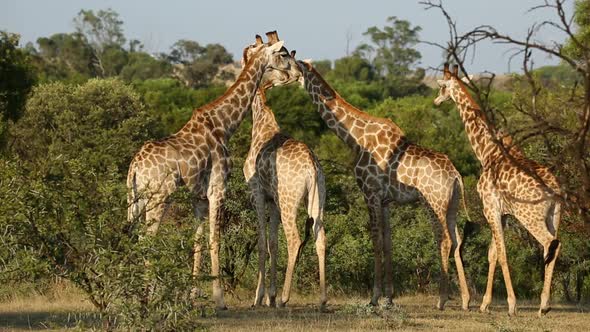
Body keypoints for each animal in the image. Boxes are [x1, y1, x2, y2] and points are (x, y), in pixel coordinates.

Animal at [128, 31, 302, 308]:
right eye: (283, 54)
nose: (297, 72)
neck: (223, 125)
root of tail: (134, 166)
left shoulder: (198, 198)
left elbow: (197, 242)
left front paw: (192, 296)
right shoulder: (217, 188)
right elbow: (215, 240)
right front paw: (219, 299)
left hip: (136, 200)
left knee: (137, 237)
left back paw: (137, 294)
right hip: (159, 197)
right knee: (148, 238)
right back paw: (147, 296)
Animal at [245, 81, 328, 310]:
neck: (262, 126)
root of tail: (311, 167)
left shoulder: (257, 193)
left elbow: (262, 242)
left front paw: (259, 298)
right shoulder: (273, 200)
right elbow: (273, 244)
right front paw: (269, 298)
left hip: (288, 201)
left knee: (294, 239)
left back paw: (284, 297)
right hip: (317, 199)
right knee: (321, 238)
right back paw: (322, 299)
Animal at [298, 59, 474, 308]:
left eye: (292, 65)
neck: (357, 139)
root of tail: (456, 175)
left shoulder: (370, 194)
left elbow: (376, 240)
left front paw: (374, 297)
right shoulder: (386, 201)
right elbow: (388, 242)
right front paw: (389, 297)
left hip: (434, 203)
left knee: (446, 240)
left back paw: (441, 300)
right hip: (453, 205)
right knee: (457, 240)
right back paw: (466, 300)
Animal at [434, 63, 564, 316]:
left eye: (442, 86)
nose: (436, 101)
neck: (487, 152)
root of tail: (555, 192)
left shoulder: (490, 208)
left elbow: (502, 253)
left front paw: (511, 304)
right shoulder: (501, 214)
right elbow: (493, 253)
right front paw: (485, 303)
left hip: (530, 217)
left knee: (548, 244)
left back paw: (543, 305)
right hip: (554, 216)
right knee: (556, 245)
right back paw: (544, 305)